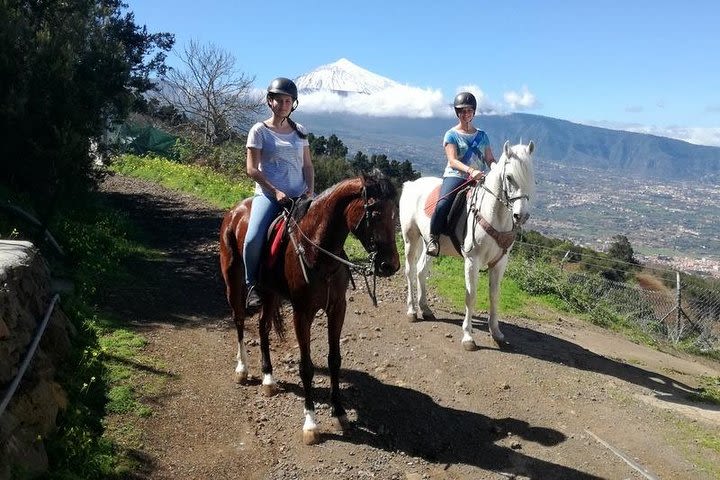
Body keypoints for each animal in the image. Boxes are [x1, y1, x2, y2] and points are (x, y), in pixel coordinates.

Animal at [218, 171, 400, 444]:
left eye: (395, 214)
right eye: (375, 213)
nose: (391, 265)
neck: (318, 250)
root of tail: (235, 211)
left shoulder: (337, 309)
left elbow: (334, 360)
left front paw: (339, 413)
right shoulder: (302, 313)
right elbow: (306, 367)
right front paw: (311, 423)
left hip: (270, 293)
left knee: (262, 327)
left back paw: (268, 378)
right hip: (233, 278)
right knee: (239, 319)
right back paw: (242, 369)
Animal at [400, 141, 536, 350]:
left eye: (531, 178)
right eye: (509, 177)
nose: (521, 216)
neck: (493, 216)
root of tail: (411, 184)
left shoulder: (500, 263)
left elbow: (495, 296)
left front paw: (496, 333)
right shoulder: (472, 260)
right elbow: (470, 296)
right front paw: (468, 337)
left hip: (428, 243)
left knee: (421, 271)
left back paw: (425, 308)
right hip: (411, 237)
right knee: (410, 271)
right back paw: (412, 311)